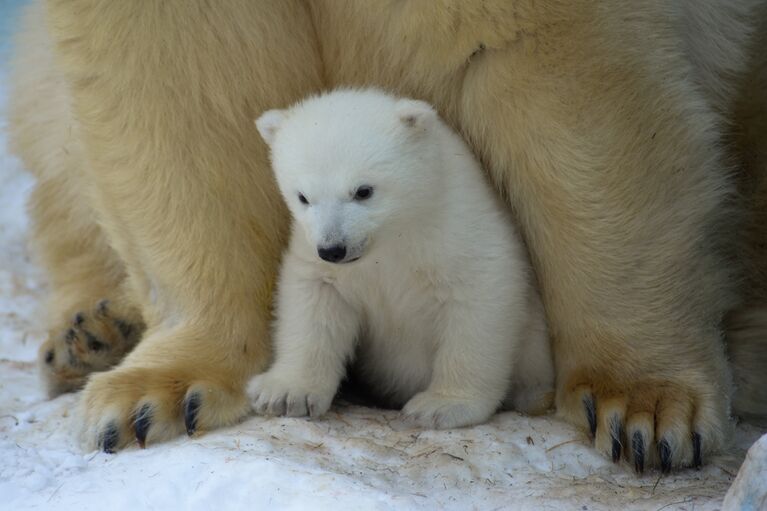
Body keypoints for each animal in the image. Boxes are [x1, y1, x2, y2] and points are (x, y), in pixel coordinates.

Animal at [10, 1, 767, 472]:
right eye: (301, 195)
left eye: (367, 191)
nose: (334, 246)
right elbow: (168, 80)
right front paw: (153, 398)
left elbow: (556, 72)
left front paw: (643, 408)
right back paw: (89, 336)